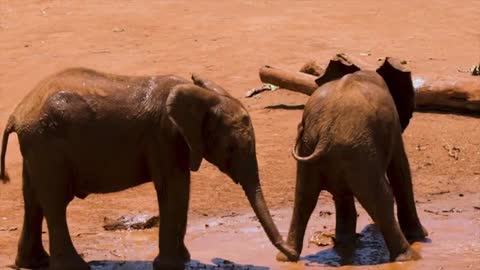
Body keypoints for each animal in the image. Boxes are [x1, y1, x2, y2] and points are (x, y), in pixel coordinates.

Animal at [0, 68, 298, 270]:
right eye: (232, 148)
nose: (290, 256)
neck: (205, 96)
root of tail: (17, 113)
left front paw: (182, 260)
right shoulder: (165, 136)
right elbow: (175, 187)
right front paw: (173, 264)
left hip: (38, 147)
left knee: (33, 200)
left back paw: (33, 263)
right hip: (47, 144)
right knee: (55, 201)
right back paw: (75, 267)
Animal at [276, 56, 430, 262]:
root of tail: (326, 127)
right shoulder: (394, 127)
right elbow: (400, 171)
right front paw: (422, 236)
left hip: (318, 145)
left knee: (303, 198)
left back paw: (288, 258)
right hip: (356, 150)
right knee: (380, 197)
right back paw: (409, 257)